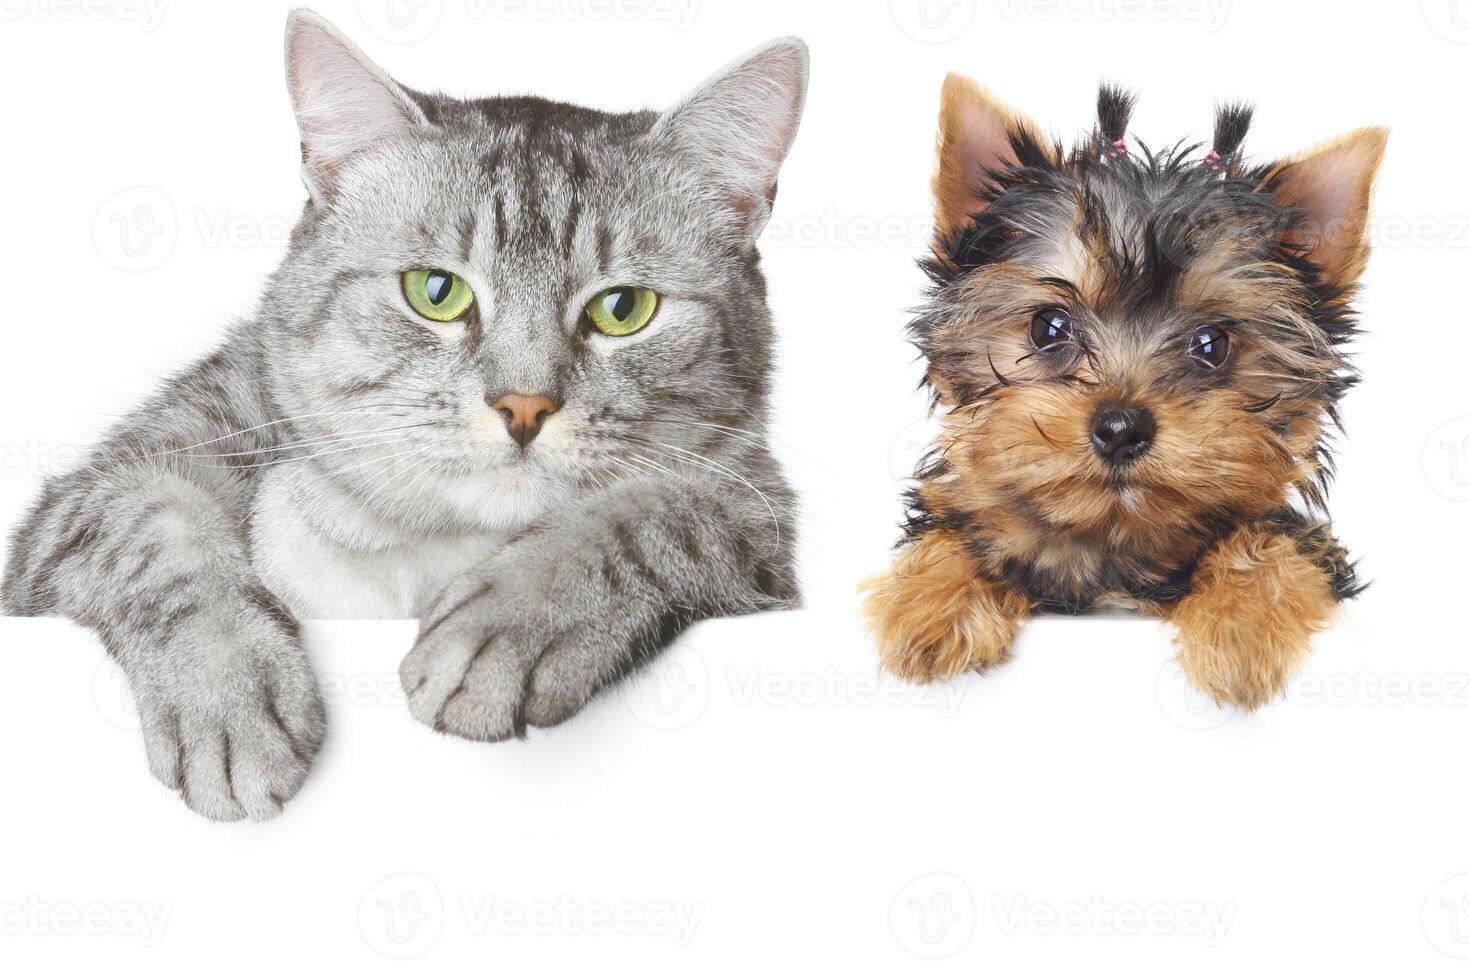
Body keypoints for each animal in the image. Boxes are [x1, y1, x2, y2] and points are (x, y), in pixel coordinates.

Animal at [2, 11, 805, 822]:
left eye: (623, 308)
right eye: (436, 291)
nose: (524, 405)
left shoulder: (760, 521)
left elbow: (652, 516)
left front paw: (510, 619)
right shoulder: (110, 485)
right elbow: (155, 531)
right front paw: (225, 690)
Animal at [857, 74, 1374, 705]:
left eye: (1212, 344)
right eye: (1049, 328)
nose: (1122, 427)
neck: (1111, 538)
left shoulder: (1308, 543)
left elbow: (1271, 540)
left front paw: (1239, 628)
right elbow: (960, 530)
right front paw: (928, 604)